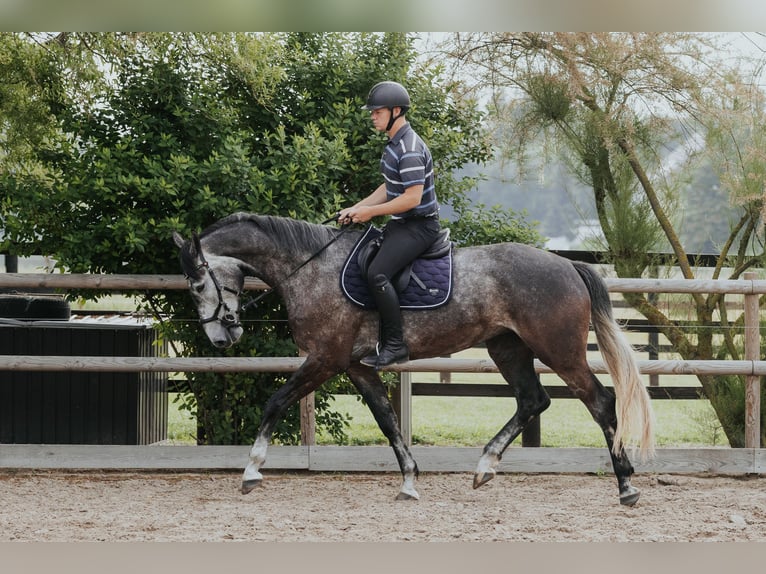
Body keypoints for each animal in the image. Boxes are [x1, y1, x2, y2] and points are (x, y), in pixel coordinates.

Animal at [176, 213, 660, 508]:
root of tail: (566, 265)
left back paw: (626, 485)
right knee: (532, 401)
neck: (312, 268)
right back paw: (485, 467)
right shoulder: (356, 366)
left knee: (600, 402)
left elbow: (275, 403)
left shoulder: (325, 359)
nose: (222, 336)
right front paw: (409, 481)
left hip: (559, 351)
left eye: (198, 285)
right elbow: (388, 421)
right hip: (508, 348)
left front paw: (251, 471)